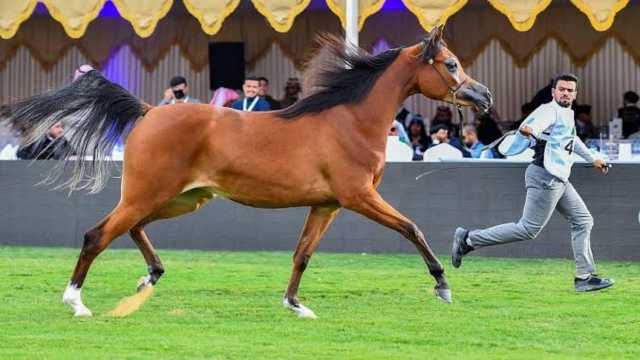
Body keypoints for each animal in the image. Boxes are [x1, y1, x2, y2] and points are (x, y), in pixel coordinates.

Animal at [1, 28, 490, 320]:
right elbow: (411, 227)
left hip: (182, 198)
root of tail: (148, 111)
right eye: (450, 64)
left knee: (132, 228)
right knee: (96, 235)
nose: (483, 96)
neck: (348, 121)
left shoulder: (327, 205)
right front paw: (443, 285)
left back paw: (150, 275)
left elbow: (302, 254)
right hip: (149, 194)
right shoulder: (358, 197)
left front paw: (295, 305)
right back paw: (76, 301)